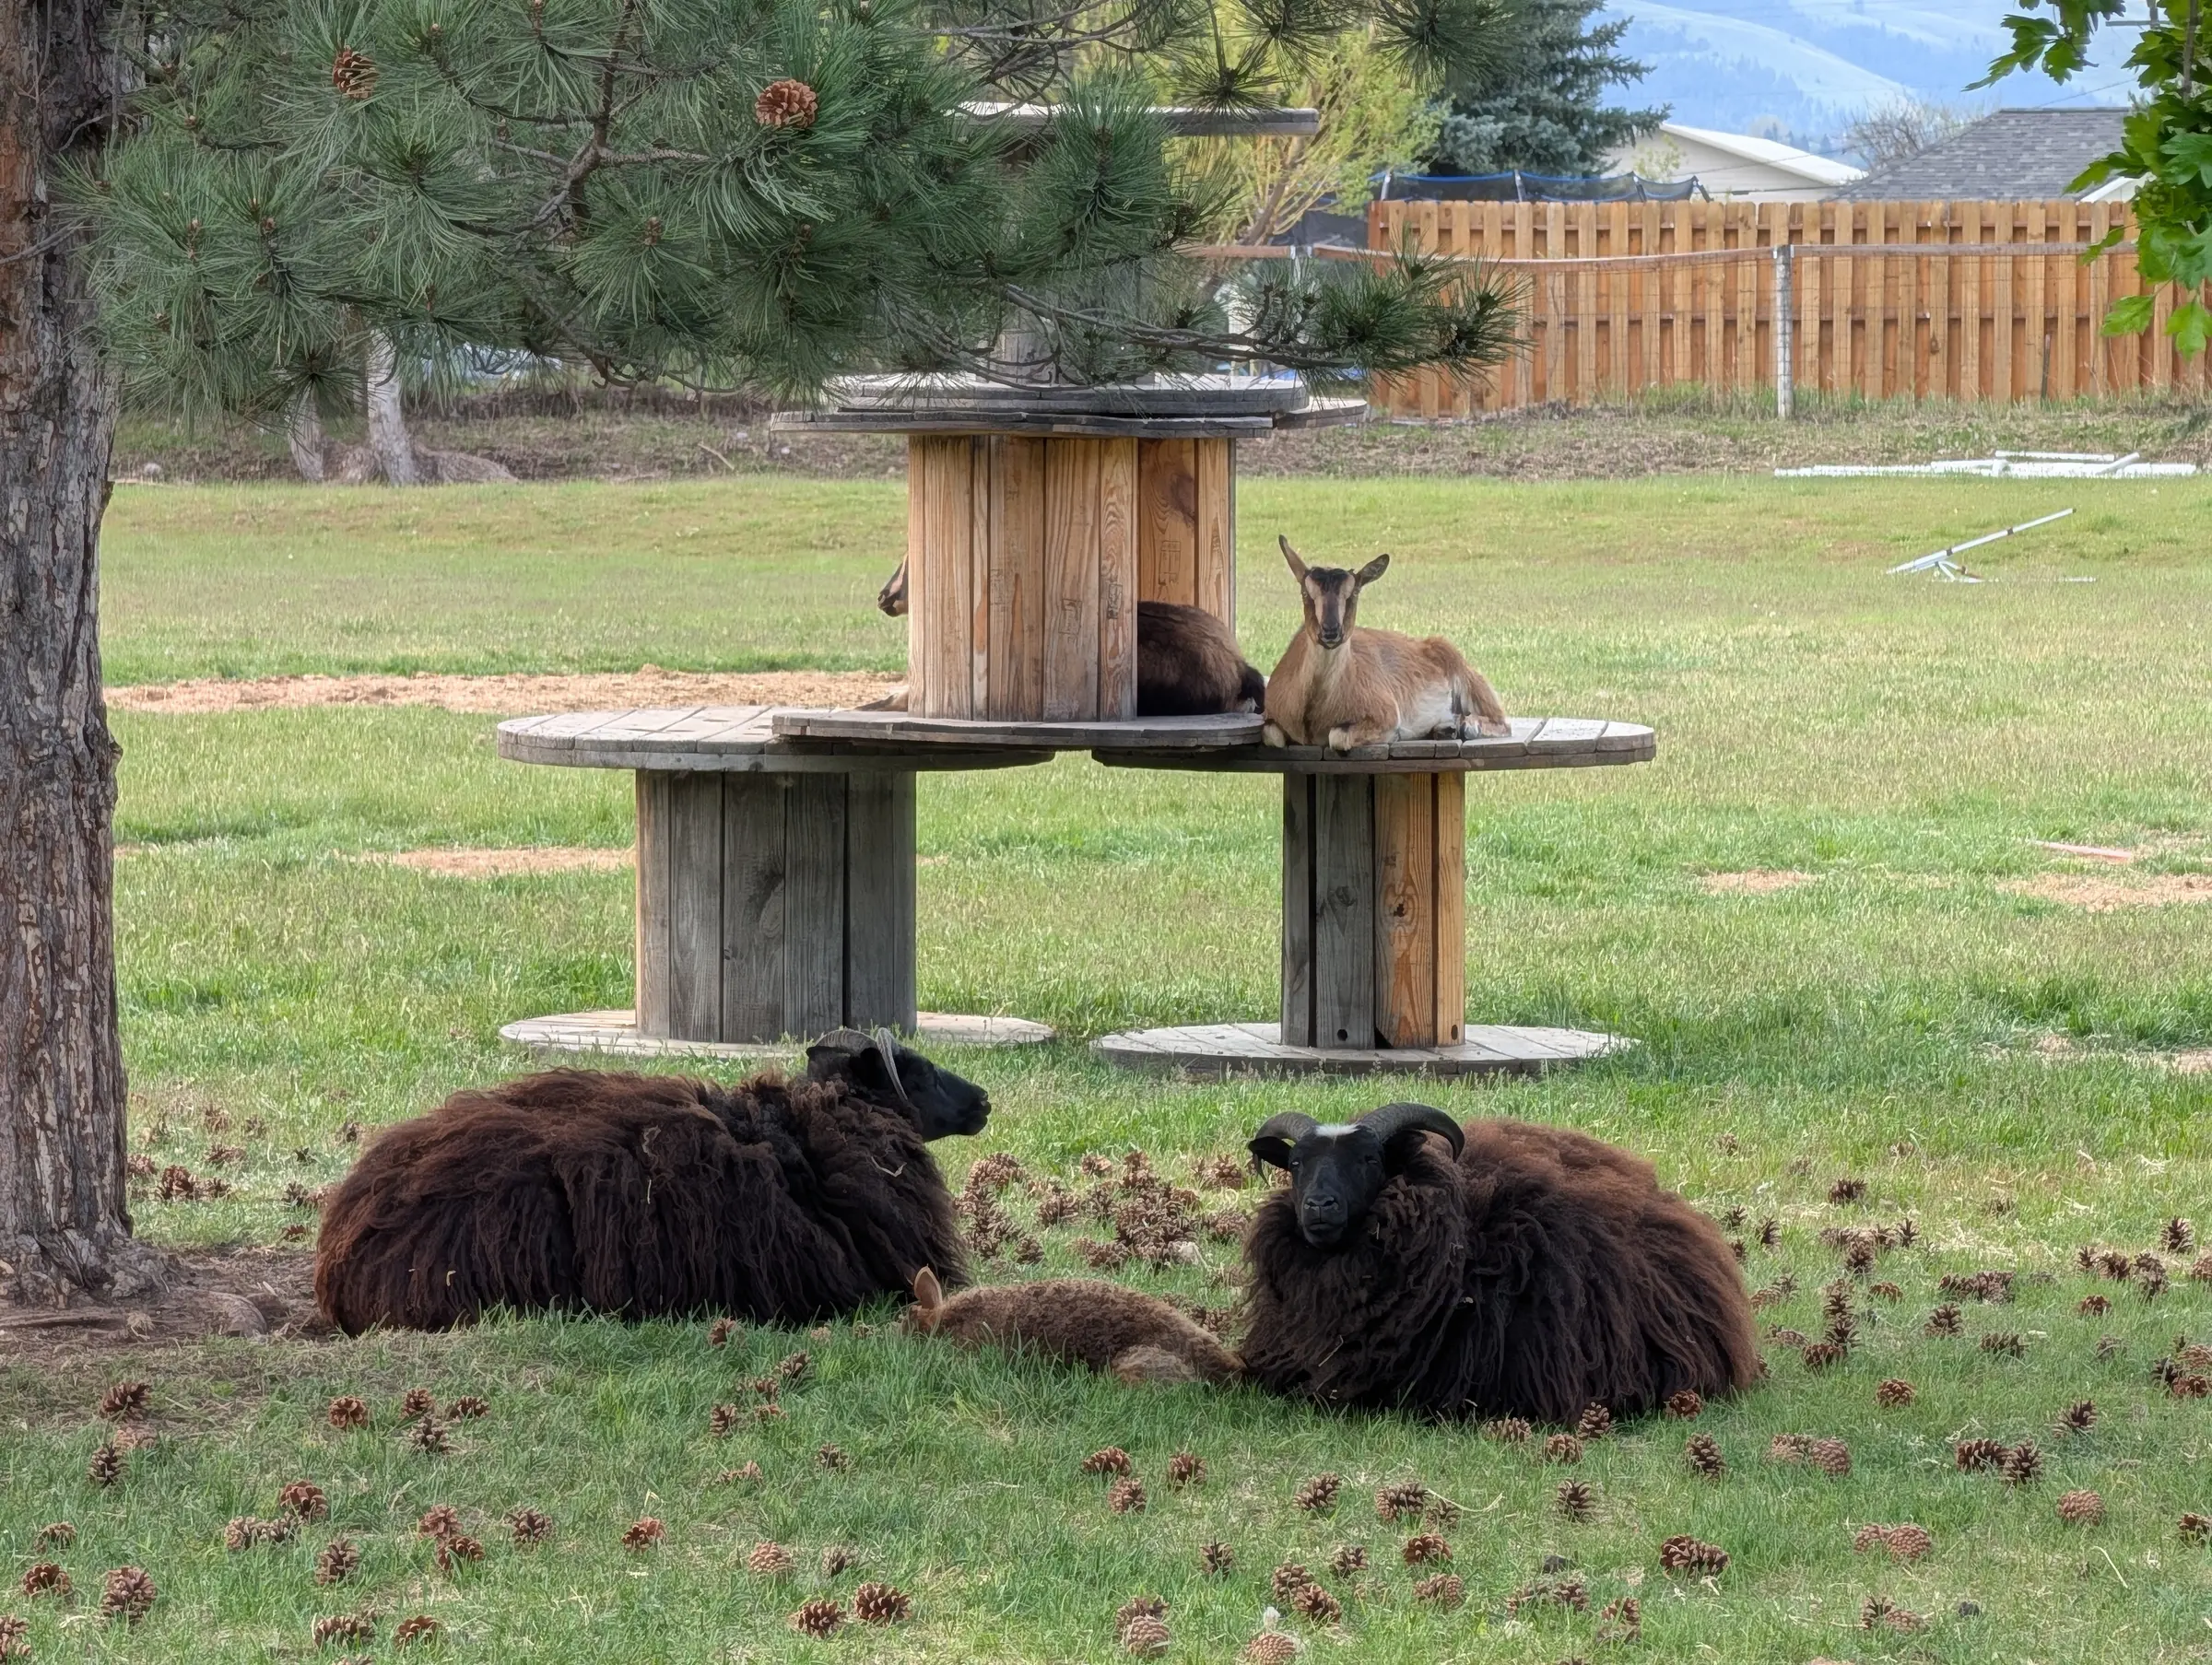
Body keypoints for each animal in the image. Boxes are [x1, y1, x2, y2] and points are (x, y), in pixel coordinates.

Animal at [1262, 537, 1508, 751]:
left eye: (1354, 593)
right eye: (1306, 593)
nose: (1331, 631)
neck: (1313, 711)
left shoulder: (1386, 714)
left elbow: (1338, 736)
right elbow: (1271, 735)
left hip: (1469, 680)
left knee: (1502, 722)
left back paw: (1465, 726)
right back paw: (1445, 728)